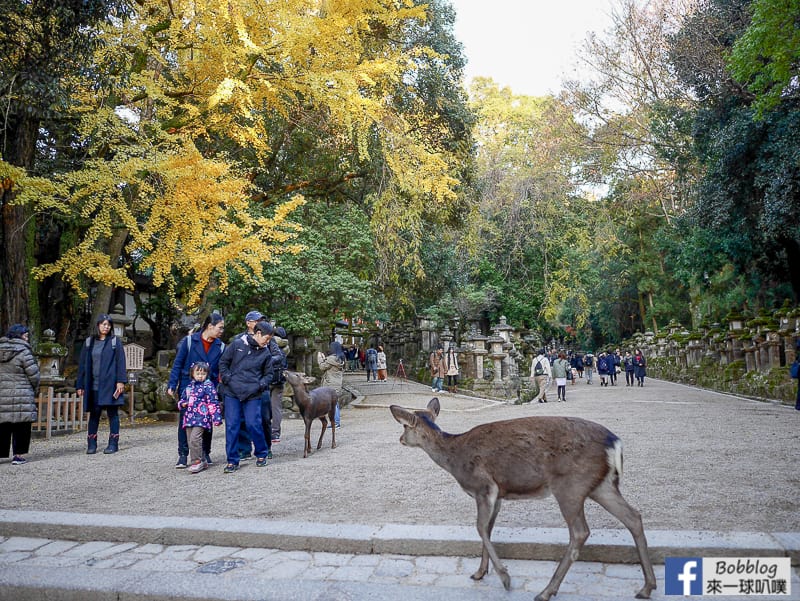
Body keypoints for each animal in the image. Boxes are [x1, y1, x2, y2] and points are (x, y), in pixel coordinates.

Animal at [390, 398, 656, 600]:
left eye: (404, 427)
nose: (400, 440)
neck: (455, 460)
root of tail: (616, 444)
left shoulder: (484, 486)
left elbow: (479, 528)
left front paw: (505, 578)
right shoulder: (498, 494)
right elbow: (488, 529)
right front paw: (479, 573)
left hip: (570, 486)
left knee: (580, 532)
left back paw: (546, 591)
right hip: (602, 486)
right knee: (633, 517)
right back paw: (646, 587)